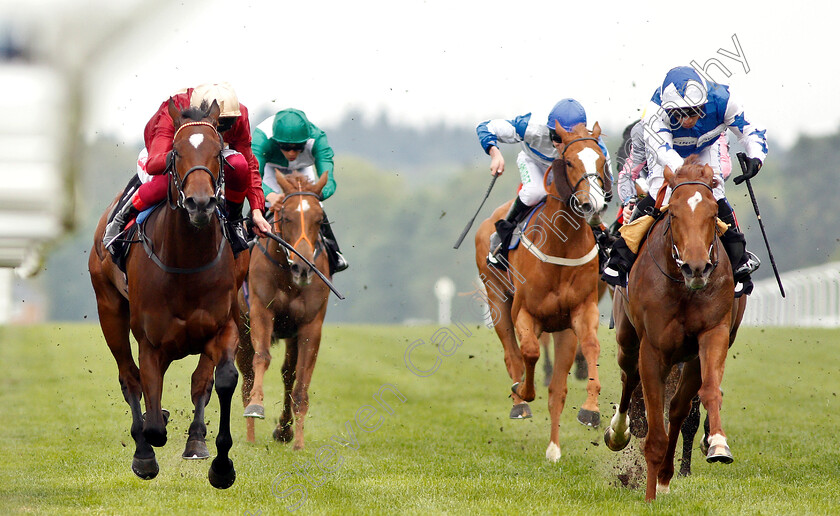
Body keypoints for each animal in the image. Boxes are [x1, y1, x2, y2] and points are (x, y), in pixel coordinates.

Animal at [89, 100, 246, 488]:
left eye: (218, 151)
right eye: (176, 153)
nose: (200, 203)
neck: (187, 263)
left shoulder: (224, 326)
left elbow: (220, 380)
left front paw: (220, 463)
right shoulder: (150, 341)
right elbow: (151, 408)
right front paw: (147, 444)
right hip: (108, 309)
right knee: (129, 378)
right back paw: (144, 446)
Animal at [236, 168, 332, 448]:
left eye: (319, 219)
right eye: (287, 217)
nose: (303, 267)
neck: (288, 279)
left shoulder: (310, 326)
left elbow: (301, 379)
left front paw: (297, 440)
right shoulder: (261, 312)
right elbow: (262, 358)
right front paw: (256, 405)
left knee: (288, 374)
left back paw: (284, 430)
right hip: (241, 330)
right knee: (246, 376)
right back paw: (250, 436)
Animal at [476, 123, 608, 462]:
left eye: (602, 159)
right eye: (570, 161)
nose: (593, 204)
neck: (562, 242)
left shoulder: (579, 312)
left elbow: (589, 349)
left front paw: (590, 410)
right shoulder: (525, 312)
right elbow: (529, 353)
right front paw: (523, 392)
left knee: (556, 387)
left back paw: (553, 447)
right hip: (497, 300)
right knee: (512, 354)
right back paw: (519, 402)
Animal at [604, 157, 748, 500]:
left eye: (713, 212)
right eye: (673, 213)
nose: (696, 267)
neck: (684, 288)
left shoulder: (712, 336)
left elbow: (705, 393)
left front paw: (717, 444)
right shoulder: (653, 349)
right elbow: (654, 425)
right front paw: (649, 496)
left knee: (679, 407)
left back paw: (668, 473)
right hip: (628, 340)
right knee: (630, 379)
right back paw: (618, 432)